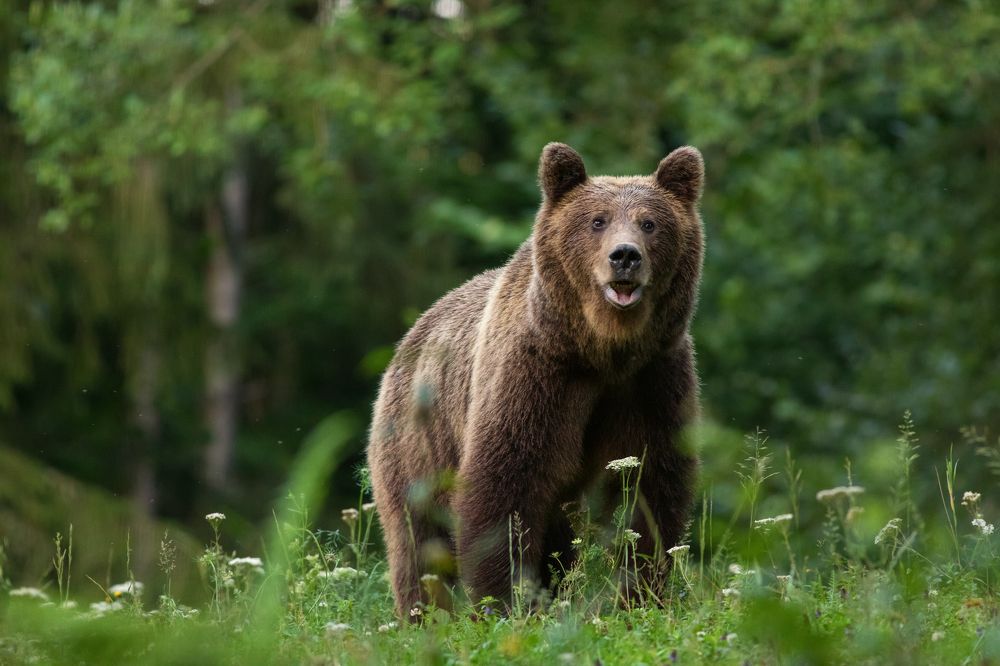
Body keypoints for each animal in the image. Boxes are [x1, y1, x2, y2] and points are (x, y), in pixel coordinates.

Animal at [367, 142, 704, 619]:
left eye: (649, 223)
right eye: (597, 220)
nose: (625, 256)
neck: (601, 350)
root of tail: (410, 336)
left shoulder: (652, 379)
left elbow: (651, 487)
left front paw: (639, 595)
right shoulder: (537, 375)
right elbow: (506, 484)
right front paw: (505, 601)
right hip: (417, 442)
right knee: (419, 539)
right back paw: (424, 614)